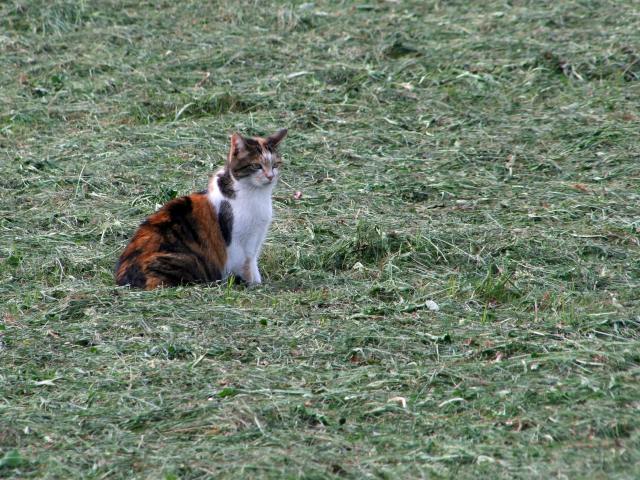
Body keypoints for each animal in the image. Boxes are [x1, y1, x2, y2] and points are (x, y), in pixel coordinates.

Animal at [115, 127, 288, 290]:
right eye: (256, 166)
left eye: (275, 165)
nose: (270, 176)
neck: (257, 195)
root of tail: (121, 279)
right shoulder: (238, 242)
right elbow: (247, 266)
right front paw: (253, 284)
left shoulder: (257, 239)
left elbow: (252, 264)